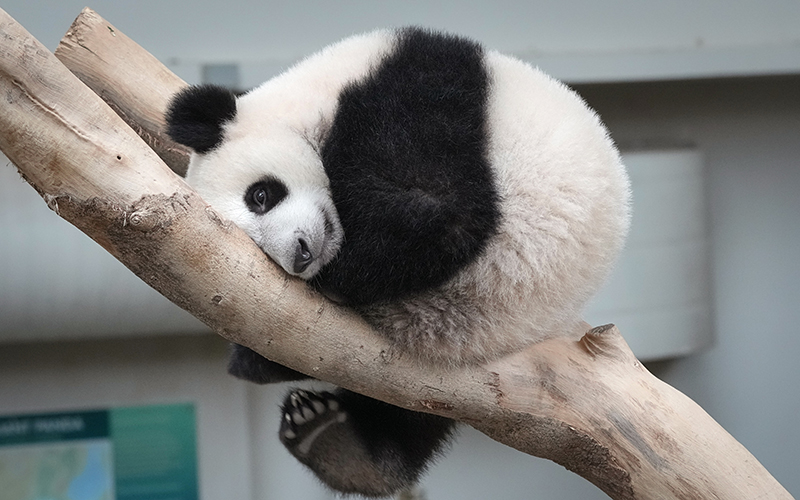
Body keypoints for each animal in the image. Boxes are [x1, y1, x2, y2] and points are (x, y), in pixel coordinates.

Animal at [166, 26, 628, 496]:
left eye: (260, 196)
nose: (300, 256)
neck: (319, 94)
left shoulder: (416, 95)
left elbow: (440, 210)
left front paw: (342, 270)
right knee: (410, 412)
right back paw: (338, 443)